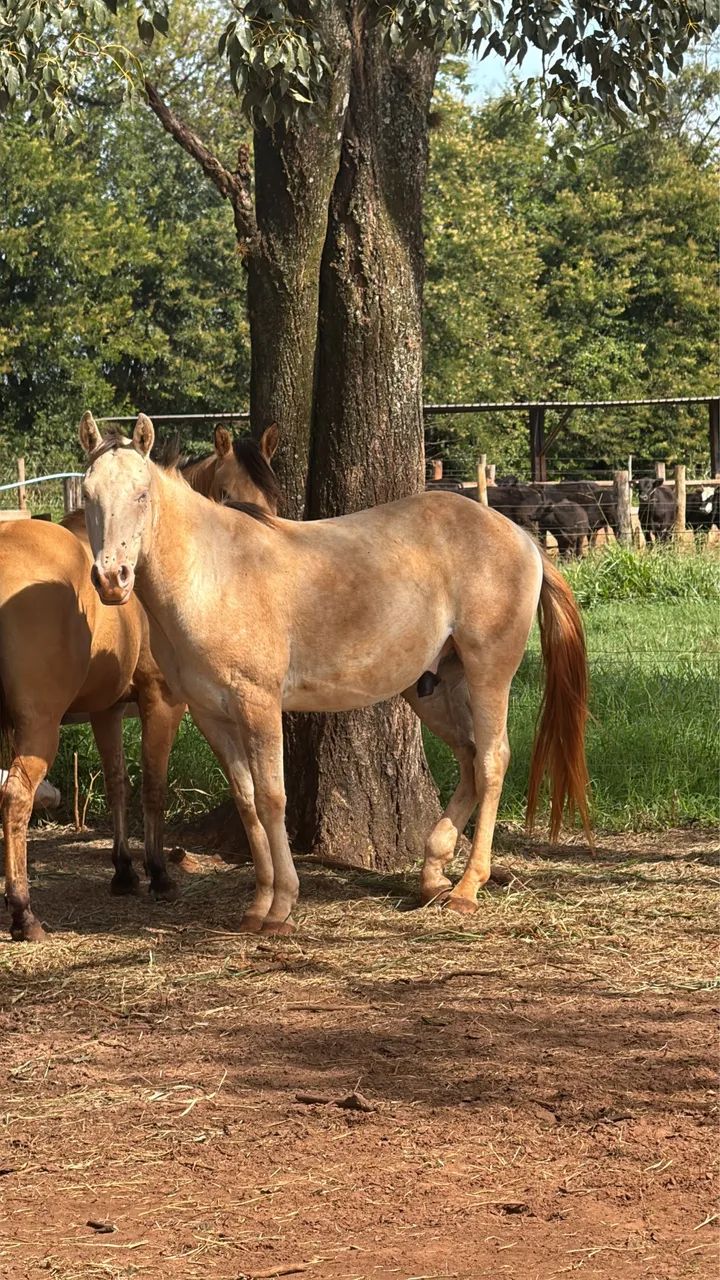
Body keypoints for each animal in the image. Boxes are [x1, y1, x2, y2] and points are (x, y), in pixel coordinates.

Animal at [0, 423, 279, 941]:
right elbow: (153, 784)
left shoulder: (106, 709)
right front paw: (159, 873)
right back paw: (24, 912)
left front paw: (124, 870)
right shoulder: (163, 702)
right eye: (224, 495)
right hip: (38, 726)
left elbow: (118, 785)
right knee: (15, 799)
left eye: (271, 497)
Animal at [80, 412, 591, 934]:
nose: (112, 579)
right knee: (469, 757)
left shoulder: (258, 704)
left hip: (489, 673)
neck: (212, 573)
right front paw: (257, 906)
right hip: (432, 689)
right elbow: (247, 801)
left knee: (491, 760)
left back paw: (468, 888)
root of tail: (522, 538)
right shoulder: (211, 716)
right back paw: (432, 876)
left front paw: (282, 906)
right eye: (87, 492)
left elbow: (272, 799)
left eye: (142, 494)